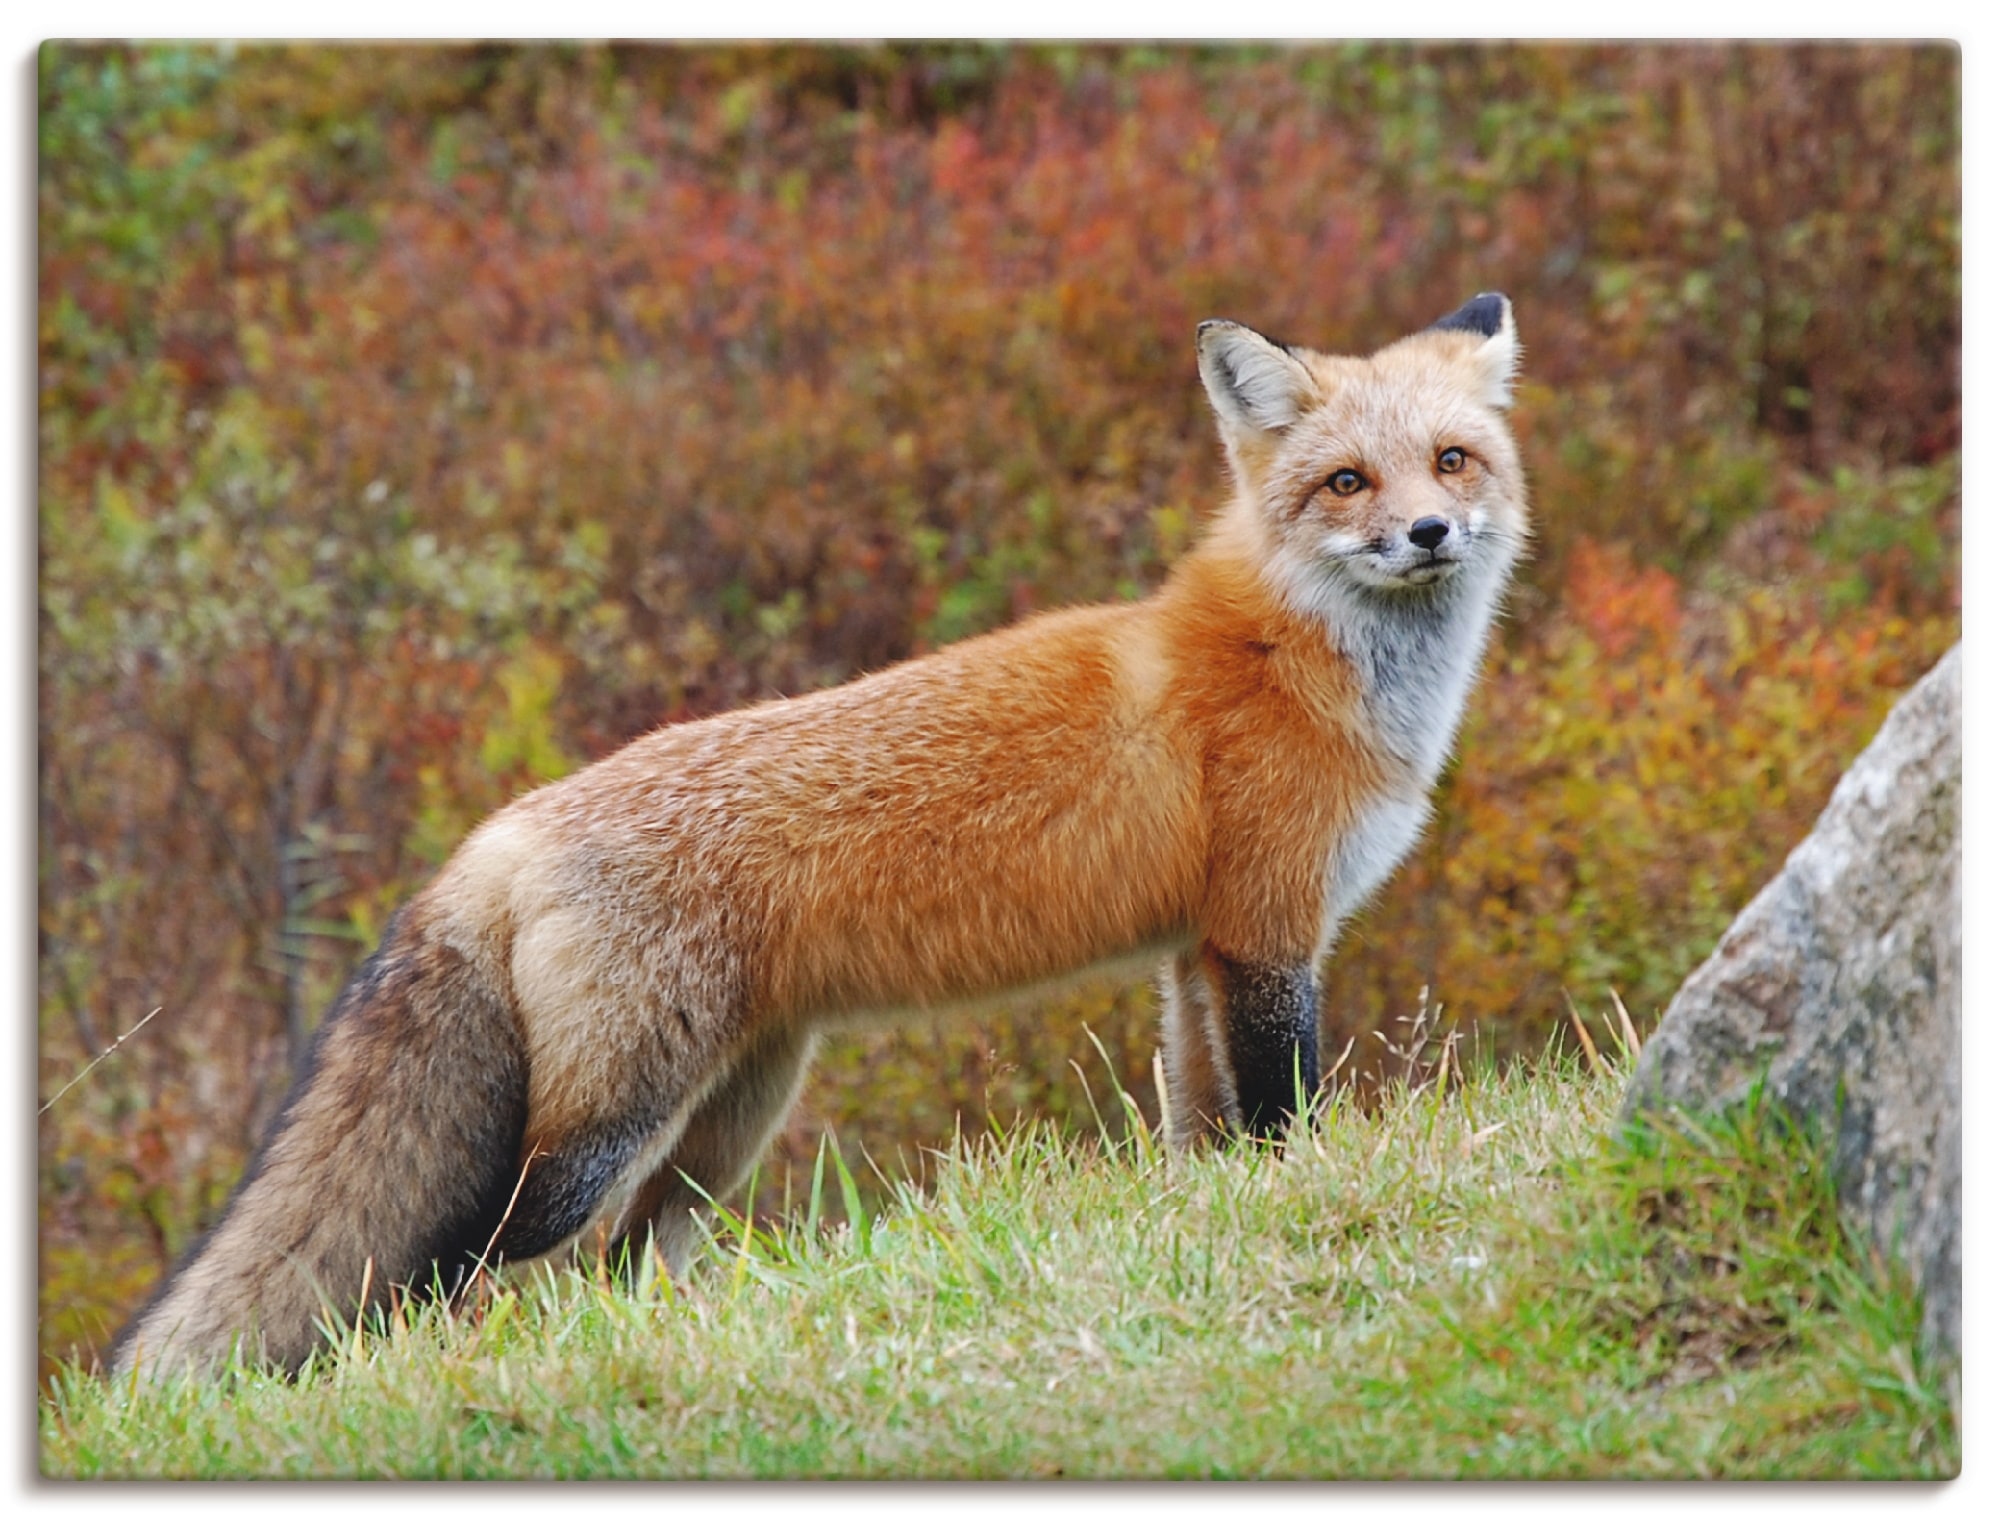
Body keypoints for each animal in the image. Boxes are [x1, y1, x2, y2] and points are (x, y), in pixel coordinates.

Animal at [113, 289, 1528, 1383]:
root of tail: (500, 831)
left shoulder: (1197, 952)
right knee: (465, 1266)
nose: (1425, 533)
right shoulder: (1267, 932)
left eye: (1451, 460)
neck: (1295, 659)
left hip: (727, 1120)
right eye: (1346, 481)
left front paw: (1207, 1223)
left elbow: (1202, 1129)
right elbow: (1285, 1118)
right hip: (605, 1126)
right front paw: (1295, 1199)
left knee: (626, 1262)